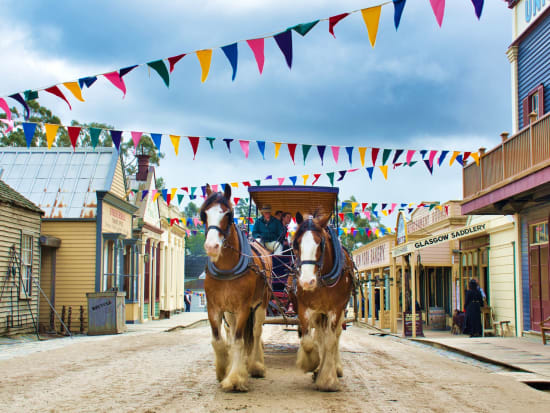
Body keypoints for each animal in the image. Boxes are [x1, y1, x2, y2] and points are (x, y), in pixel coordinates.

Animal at [202, 183, 272, 390]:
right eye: (204, 214)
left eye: (228, 214)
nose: (212, 247)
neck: (227, 269)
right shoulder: (214, 307)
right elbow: (218, 340)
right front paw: (223, 369)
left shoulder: (243, 308)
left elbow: (240, 341)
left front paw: (235, 378)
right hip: (230, 311)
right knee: (233, 333)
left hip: (261, 304)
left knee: (256, 332)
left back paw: (256, 365)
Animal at [294, 211, 354, 392]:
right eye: (297, 243)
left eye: (320, 243)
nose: (307, 281)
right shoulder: (304, 307)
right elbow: (308, 341)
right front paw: (311, 364)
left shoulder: (336, 309)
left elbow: (330, 341)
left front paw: (328, 380)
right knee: (320, 336)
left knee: (335, 336)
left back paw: (335, 368)